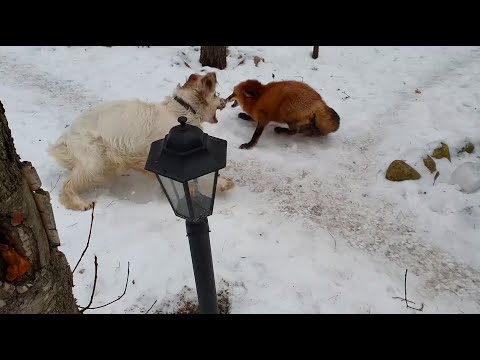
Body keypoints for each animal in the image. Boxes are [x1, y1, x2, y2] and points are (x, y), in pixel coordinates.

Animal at [48, 71, 234, 211]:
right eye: (216, 94)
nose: (225, 100)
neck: (182, 110)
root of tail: (67, 136)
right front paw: (222, 184)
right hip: (93, 163)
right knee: (67, 186)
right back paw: (79, 203)